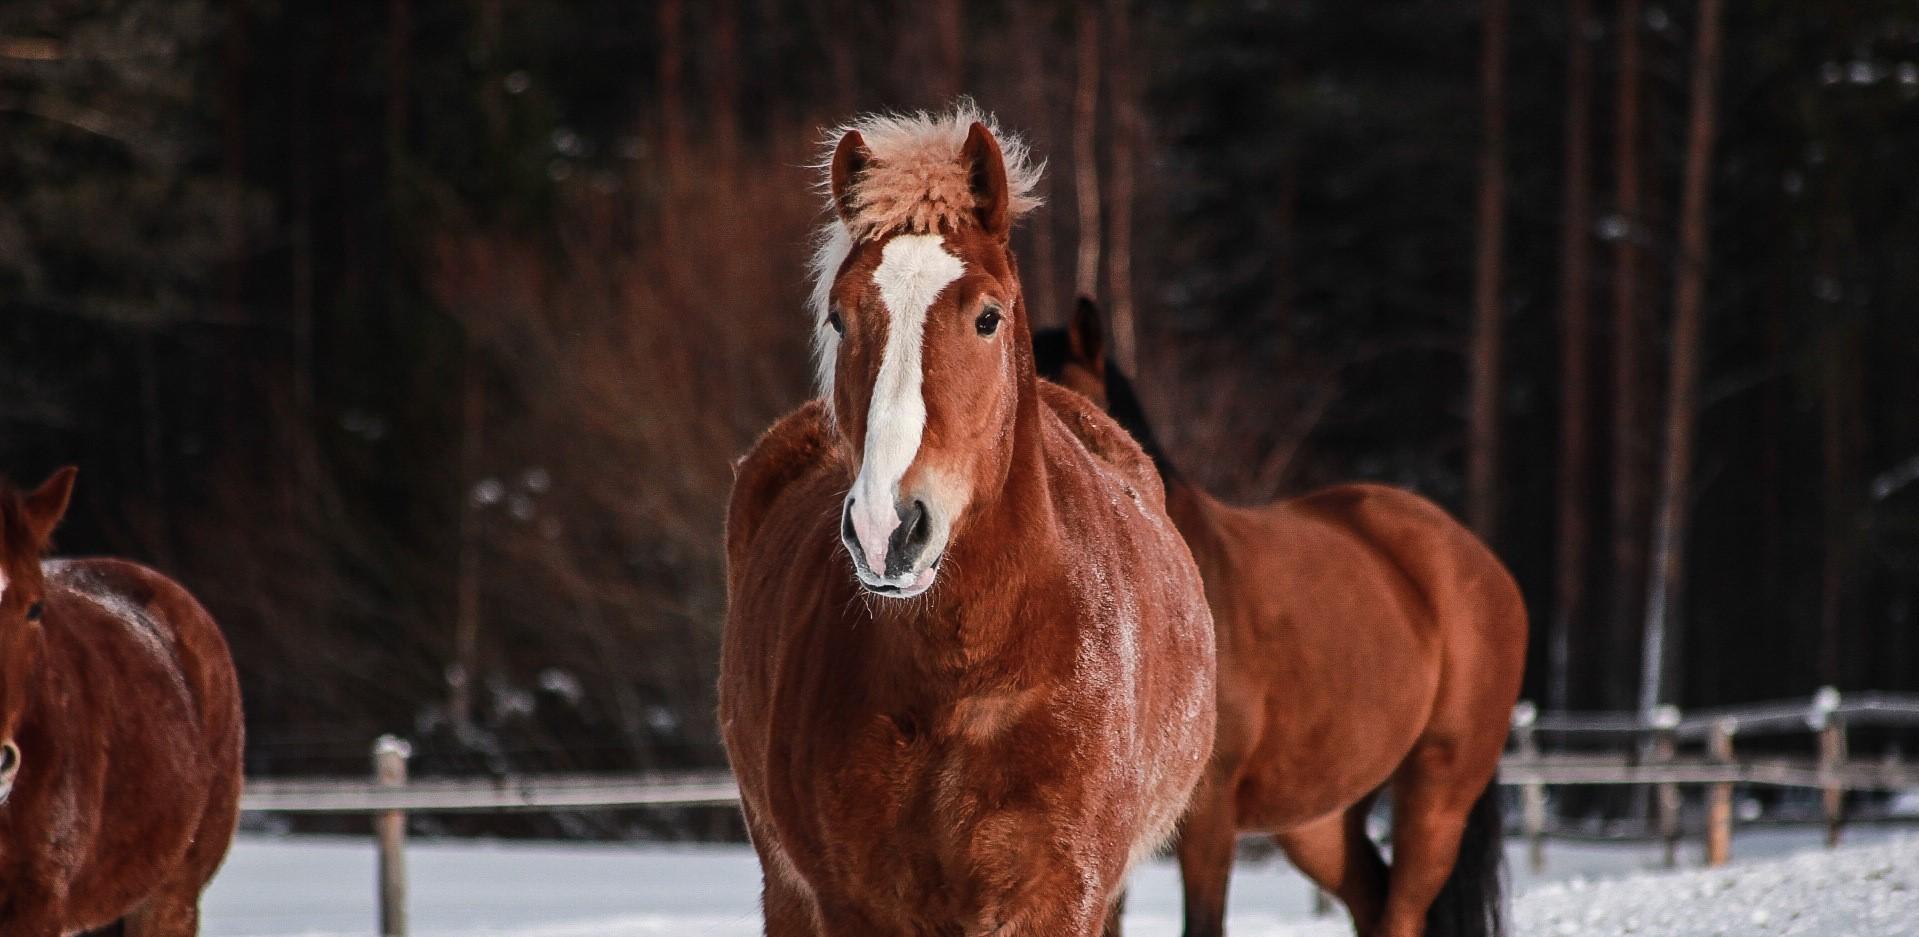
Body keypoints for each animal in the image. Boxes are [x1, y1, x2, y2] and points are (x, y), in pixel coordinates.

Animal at [718, 104, 1217, 936]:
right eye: (838, 317)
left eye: (987, 316)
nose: (886, 529)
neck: (966, 673)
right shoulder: (852, 903)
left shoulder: (1056, 895)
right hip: (785, 887)